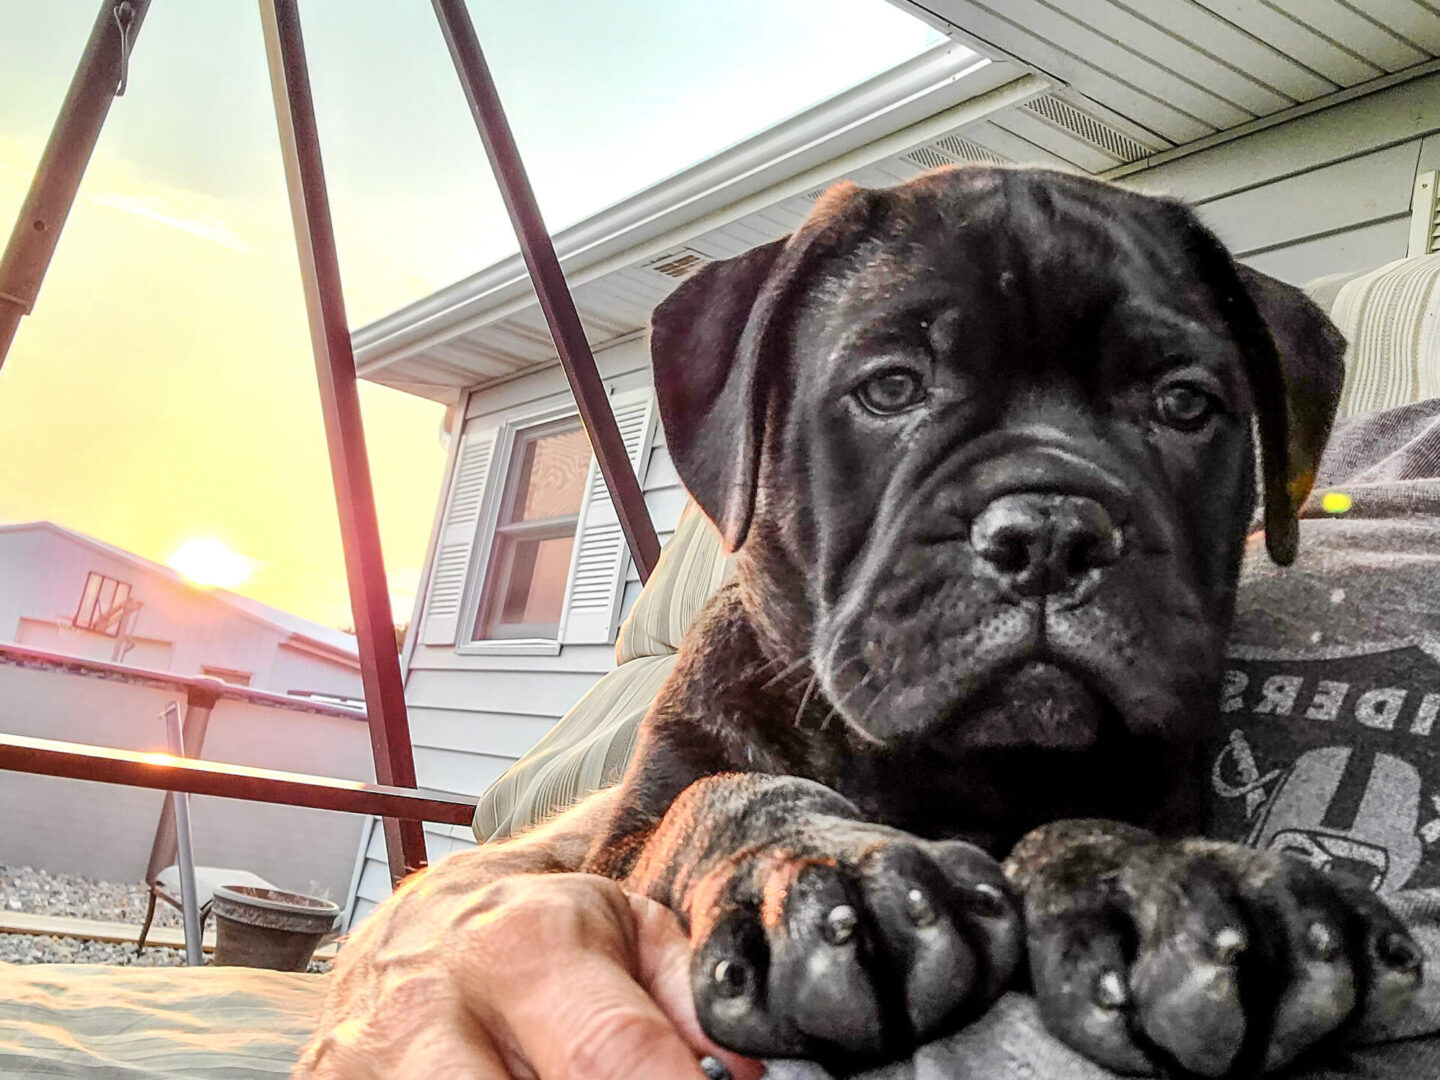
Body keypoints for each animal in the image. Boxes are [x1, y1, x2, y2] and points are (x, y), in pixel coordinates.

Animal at [578, 164, 1422, 1077]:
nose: (1051, 533)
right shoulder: (624, 847)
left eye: (1185, 403)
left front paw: (1156, 879)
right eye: (892, 387)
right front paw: (826, 868)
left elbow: (1094, 819)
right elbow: (722, 796)